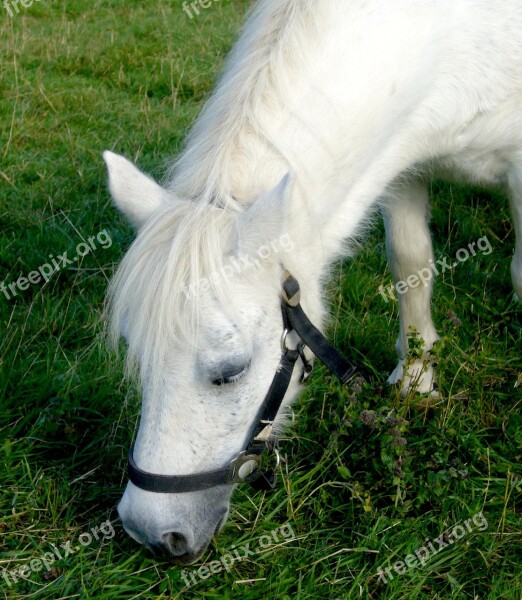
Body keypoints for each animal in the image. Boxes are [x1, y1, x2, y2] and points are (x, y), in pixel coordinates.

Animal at [102, 0, 520, 564]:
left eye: (231, 371)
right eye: (138, 356)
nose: (150, 531)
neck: (456, 36)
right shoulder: (401, 156)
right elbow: (410, 262)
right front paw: (416, 379)